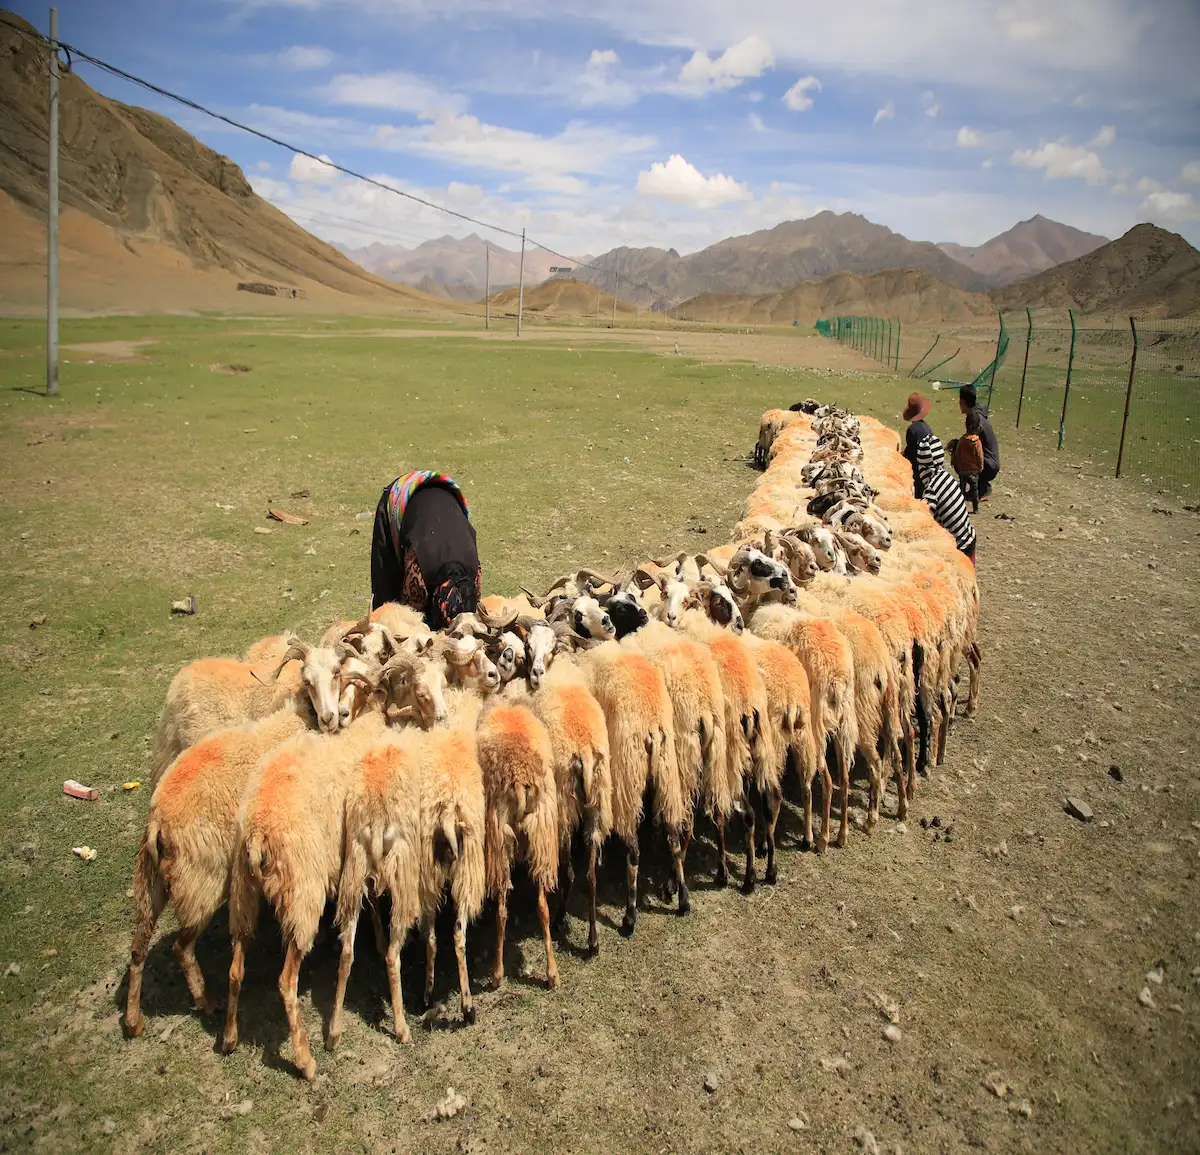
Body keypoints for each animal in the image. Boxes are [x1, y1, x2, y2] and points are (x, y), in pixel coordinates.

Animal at [475, 699, 560, 989]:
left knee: (501, 910)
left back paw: (497, 975)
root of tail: (521, 777)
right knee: (543, 906)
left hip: (498, 833)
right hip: (543, 830)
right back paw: (552, 974)